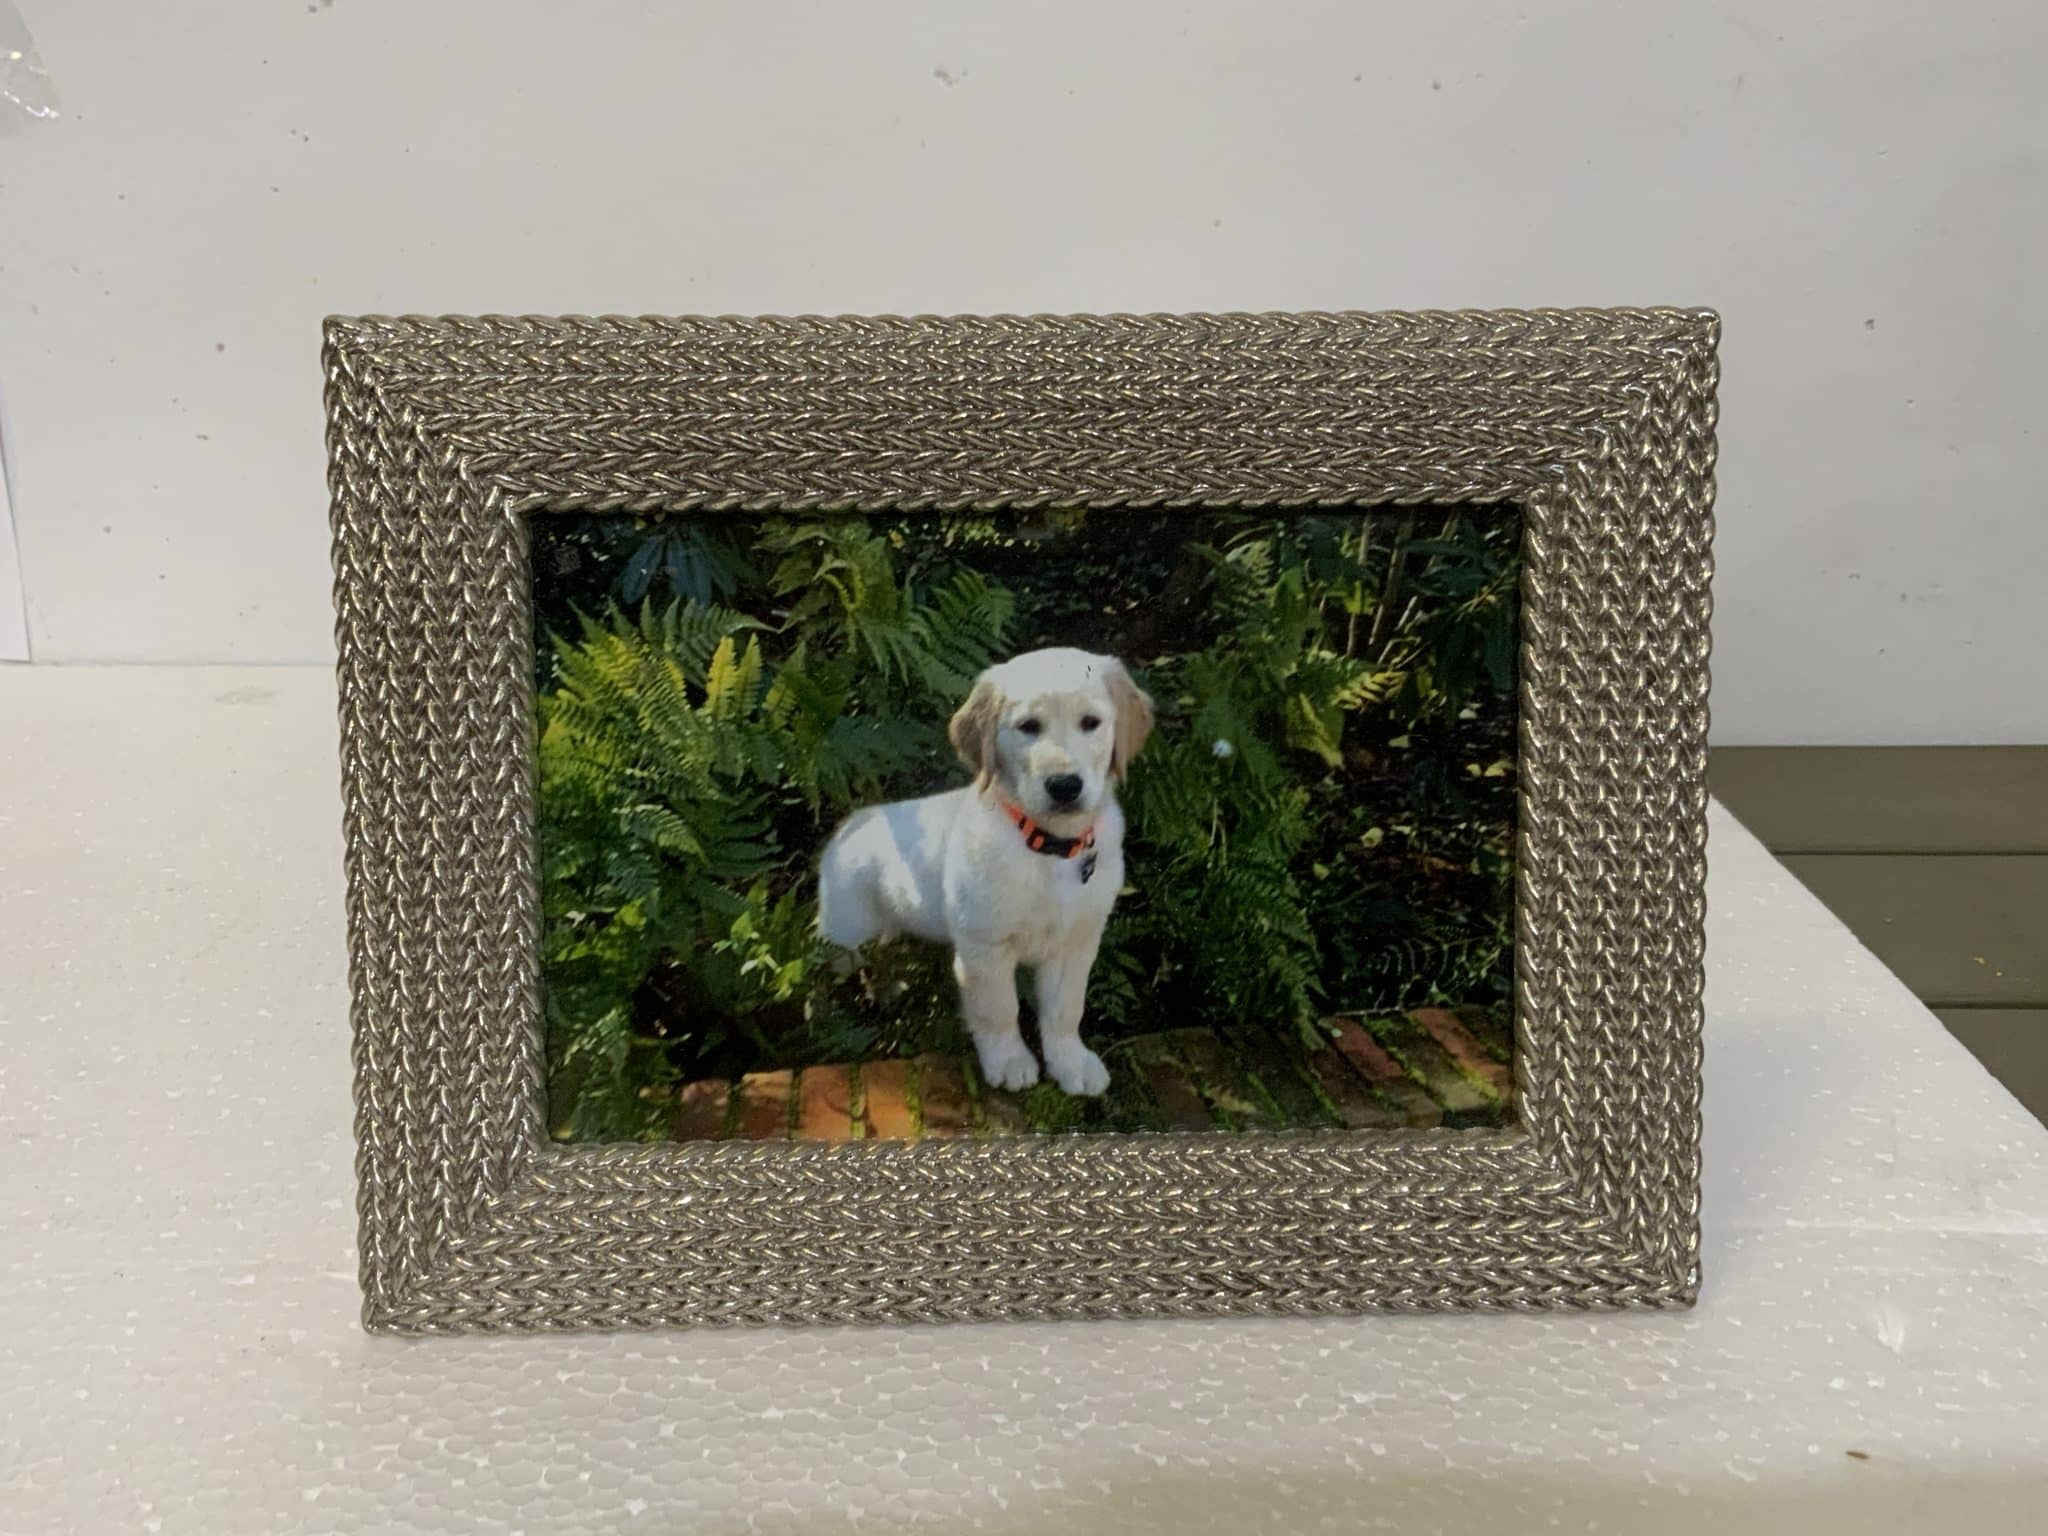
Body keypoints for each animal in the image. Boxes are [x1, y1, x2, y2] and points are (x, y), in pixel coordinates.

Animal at [817, 648, 1153, 1097]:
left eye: (1090, 723)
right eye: (1028, 727)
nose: (1065, 786)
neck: (1048, 846)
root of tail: (854, 822)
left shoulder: (1076, 943)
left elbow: (1066, 1008)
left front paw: (1070, 1062)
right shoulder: (984, 947)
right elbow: (1000, 1009)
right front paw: (1010, 1061)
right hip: (843, 933)